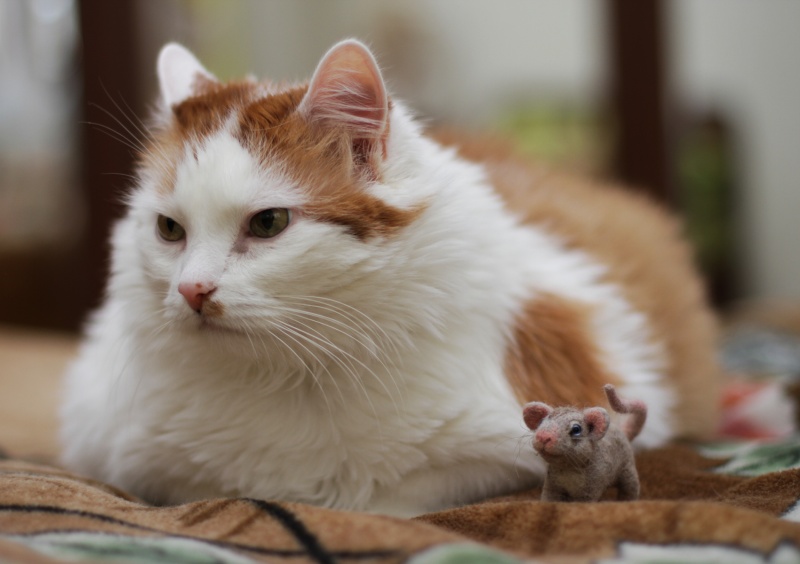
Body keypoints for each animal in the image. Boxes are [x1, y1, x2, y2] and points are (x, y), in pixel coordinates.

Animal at [60, 39, 720, 517]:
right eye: (170, 230)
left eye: (268, 223)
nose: (191, 290)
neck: (290, 372)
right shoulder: (128, 458)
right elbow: (221, 491)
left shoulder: (502, 453)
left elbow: (381, 503)